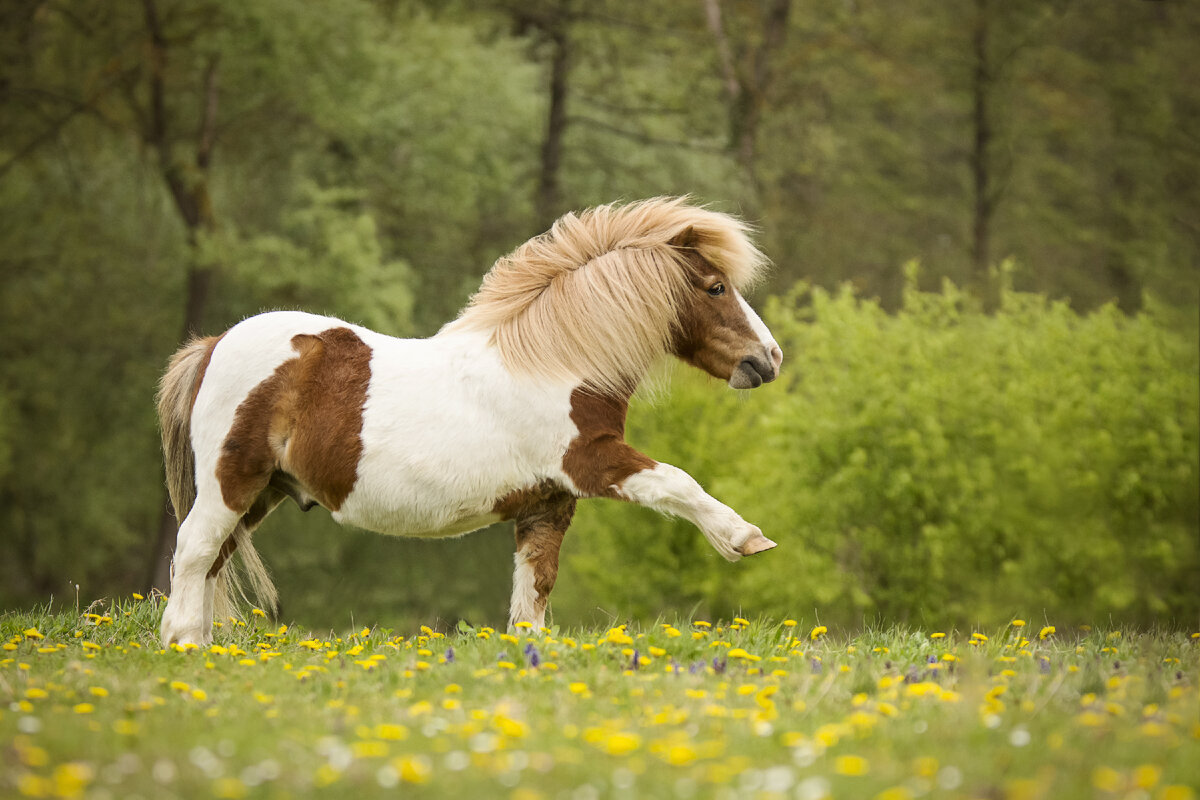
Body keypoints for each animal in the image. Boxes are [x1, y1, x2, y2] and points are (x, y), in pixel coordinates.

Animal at [154, 196, 782, 647]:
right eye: (716, 287)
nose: (769, 358)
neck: (558, 363)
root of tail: (213, 345)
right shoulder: (593, 463)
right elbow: (678, 481)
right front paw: (746, 539)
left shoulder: (548, 503)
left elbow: (534, 589)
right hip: (231, 481)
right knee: (194, 551)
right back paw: (183, 644)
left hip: (263, 492)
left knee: (211, 562)